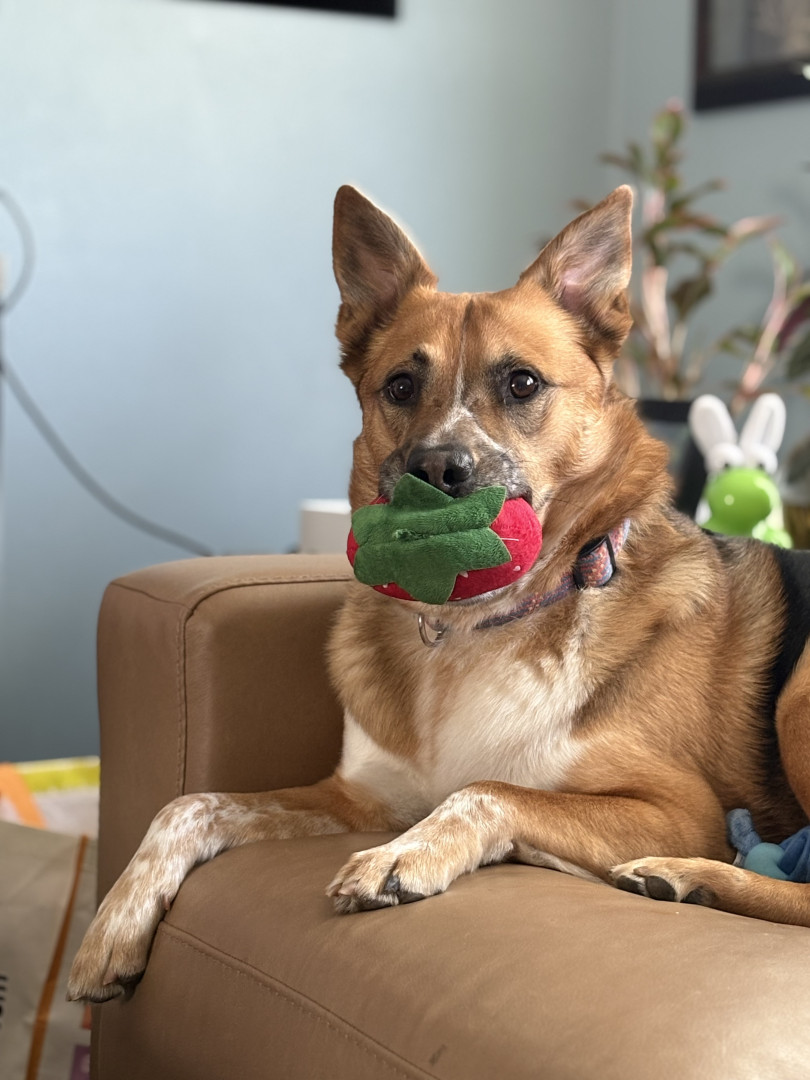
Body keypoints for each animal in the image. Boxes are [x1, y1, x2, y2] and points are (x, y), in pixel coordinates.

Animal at [68, 184, 810, 1004]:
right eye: (400, 386)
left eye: (522, 383)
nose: (437, 470)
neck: (470, 629)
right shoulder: (363, 797)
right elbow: (190, 803)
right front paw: (112, 924)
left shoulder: (680, 807)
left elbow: (489, 787)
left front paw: (405, 855)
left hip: (796, 702)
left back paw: (687, 878)